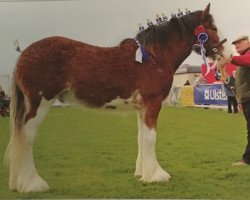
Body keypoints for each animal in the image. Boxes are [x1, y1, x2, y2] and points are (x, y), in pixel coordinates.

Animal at [5, 3, 232, 193]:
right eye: (212, 27)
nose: (228, 55)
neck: (155, 56)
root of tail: (25, 53)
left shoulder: (142, 108)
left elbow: (142, 137)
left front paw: (142, 173)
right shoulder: (152, 103)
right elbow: (151, 138)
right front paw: (157, 175)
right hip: (40, 103)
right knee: (27, 137)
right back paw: (33, 184)